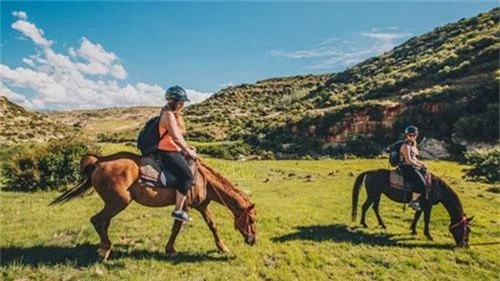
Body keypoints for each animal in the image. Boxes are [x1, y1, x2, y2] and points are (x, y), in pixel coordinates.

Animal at [49, 151, 258, 258]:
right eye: (252, 220)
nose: (253, 240)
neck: (202, 179)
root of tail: (99, 161)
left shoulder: (202, 206)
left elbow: (212, 225)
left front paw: (222, 247)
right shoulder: (185, 206)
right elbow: (177, 227)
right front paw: (170, 250)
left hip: (113, 203)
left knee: (103, 222)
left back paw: (104, 247)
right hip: (119, 202)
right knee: (97, 220)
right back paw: (105, 250)